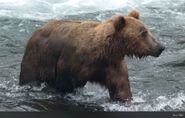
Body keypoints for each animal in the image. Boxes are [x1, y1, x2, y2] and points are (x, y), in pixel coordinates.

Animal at [19, 10, 165, 101]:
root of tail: (37, 30)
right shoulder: (71, 62)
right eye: (143, 32)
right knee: (30, 77)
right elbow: (64, 84)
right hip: (38, 58)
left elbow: (121, 87)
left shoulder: (113, 65)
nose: (160, 47)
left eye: (148, 30)